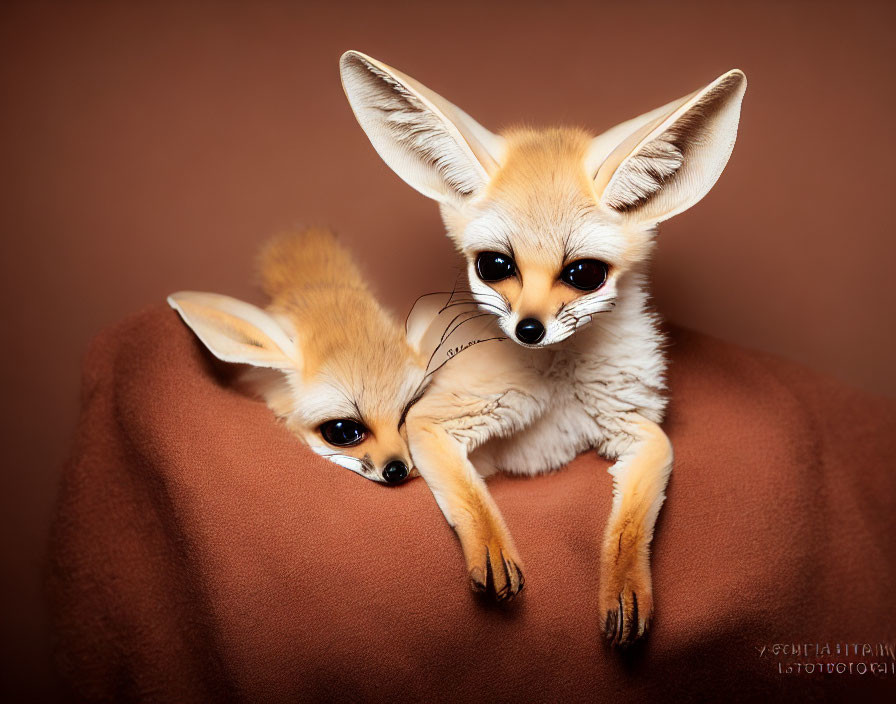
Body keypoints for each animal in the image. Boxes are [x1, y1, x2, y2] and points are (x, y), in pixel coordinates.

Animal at [340, 49, 744, 644]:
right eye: (495, 265)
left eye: (584, 274)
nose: (528, 329)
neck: (557, 383)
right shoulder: (435, 419)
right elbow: (470, 497)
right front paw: (492, 548)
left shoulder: (641, 431)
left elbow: (630, 525)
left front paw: (625, 585)